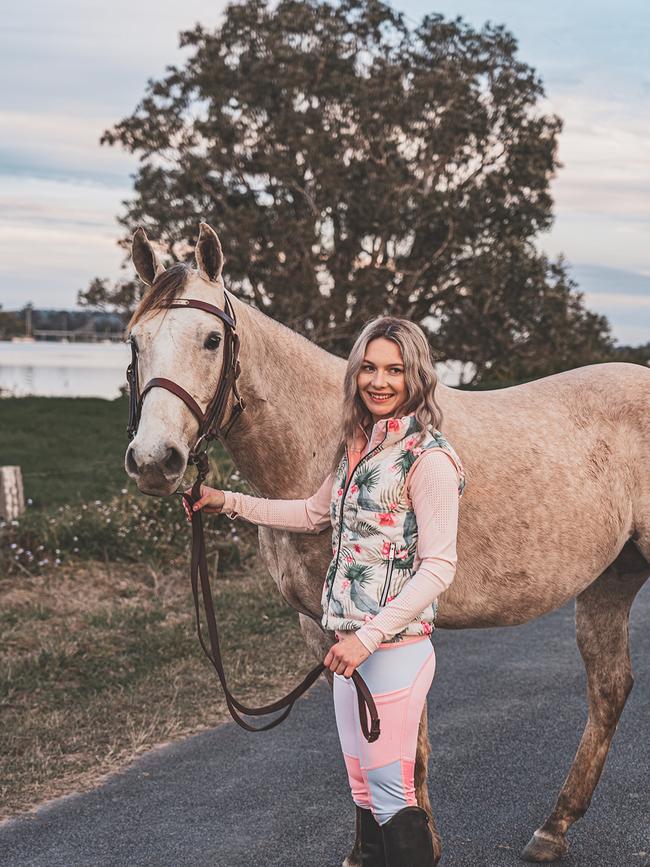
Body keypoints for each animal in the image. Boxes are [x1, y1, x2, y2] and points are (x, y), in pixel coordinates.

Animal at [125, 222, 648, 860]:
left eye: (210, 340)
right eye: (135, 341)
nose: (155, 460)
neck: (324, 440)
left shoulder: (387, 629)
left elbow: (403, 745)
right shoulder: (320, 629)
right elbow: (355, 739)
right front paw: (364, 848)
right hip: (610, 579)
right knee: (609, 687)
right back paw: (554, 827)